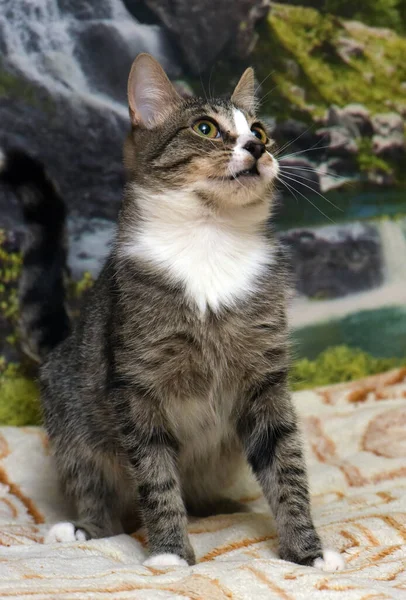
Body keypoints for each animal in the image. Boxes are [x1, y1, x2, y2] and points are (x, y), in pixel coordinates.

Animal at [0, 52, 344, 572]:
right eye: (205, 128)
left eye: (260, 130)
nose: (256, 147)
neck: (210, 239)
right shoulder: (137, 386)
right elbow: (157, 477)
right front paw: (170, 553)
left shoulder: (264, 379)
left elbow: (286, 467)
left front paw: (307, 552)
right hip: (75, 425)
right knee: (97, 493)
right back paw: (82, 528)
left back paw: (221, 505)